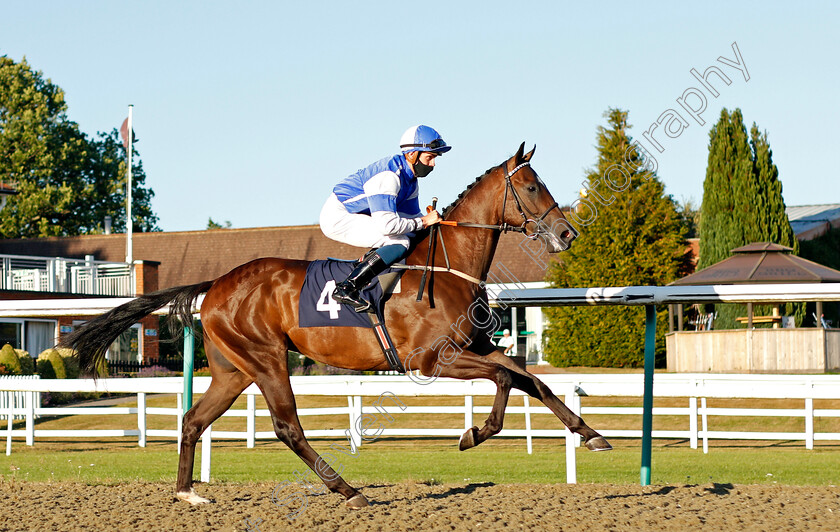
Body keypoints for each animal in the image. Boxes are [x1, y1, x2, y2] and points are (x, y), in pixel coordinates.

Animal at [60, 143, 612, 510]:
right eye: (531, 186)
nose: (568, 233)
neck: (449, 265)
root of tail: (216, 284)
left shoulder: (473, 345)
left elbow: (530, 379)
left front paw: (590, 434)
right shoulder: (430, 361)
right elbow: (503, 379)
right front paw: (473, 434)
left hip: (233, 370)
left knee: (194, 420)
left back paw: (187, 493)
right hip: (267, 358)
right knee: (287, 427)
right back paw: (347, 489)